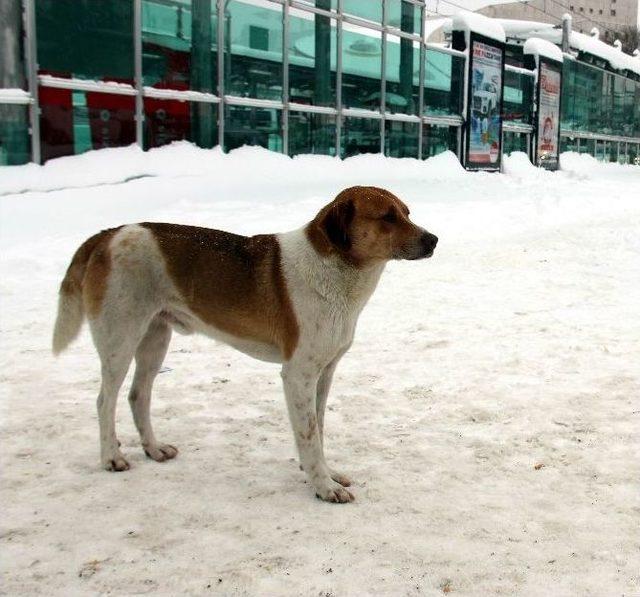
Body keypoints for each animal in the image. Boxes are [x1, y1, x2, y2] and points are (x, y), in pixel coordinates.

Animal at [53, 184, 436, 500]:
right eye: (387, 217)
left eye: (407, 212)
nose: (433, 239)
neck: (336, 271)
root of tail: (108, 235)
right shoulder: (298, 374)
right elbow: (309, 435)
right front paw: (323, 487)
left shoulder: (324, 372)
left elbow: (318, 429)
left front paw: (325, 474)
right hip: (120, 339)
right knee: (105, 401)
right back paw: (112, 457)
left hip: (155, 338)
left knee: (138, 396)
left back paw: (154, 449)